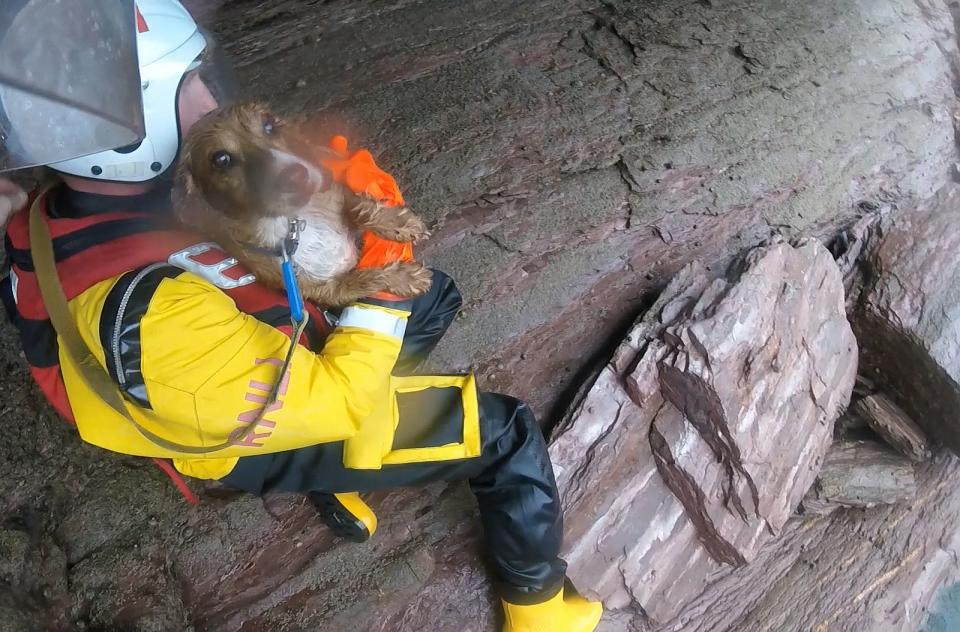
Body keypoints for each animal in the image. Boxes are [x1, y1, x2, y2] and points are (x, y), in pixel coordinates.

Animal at [174, 102, 430, 308]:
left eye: (269, 125)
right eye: (221, 159)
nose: (298, 176)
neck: (293, 223)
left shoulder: (337, 192)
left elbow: (362, 209)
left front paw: (400, 224)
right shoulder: (329, 292)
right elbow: (366, 279)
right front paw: (405, 277)